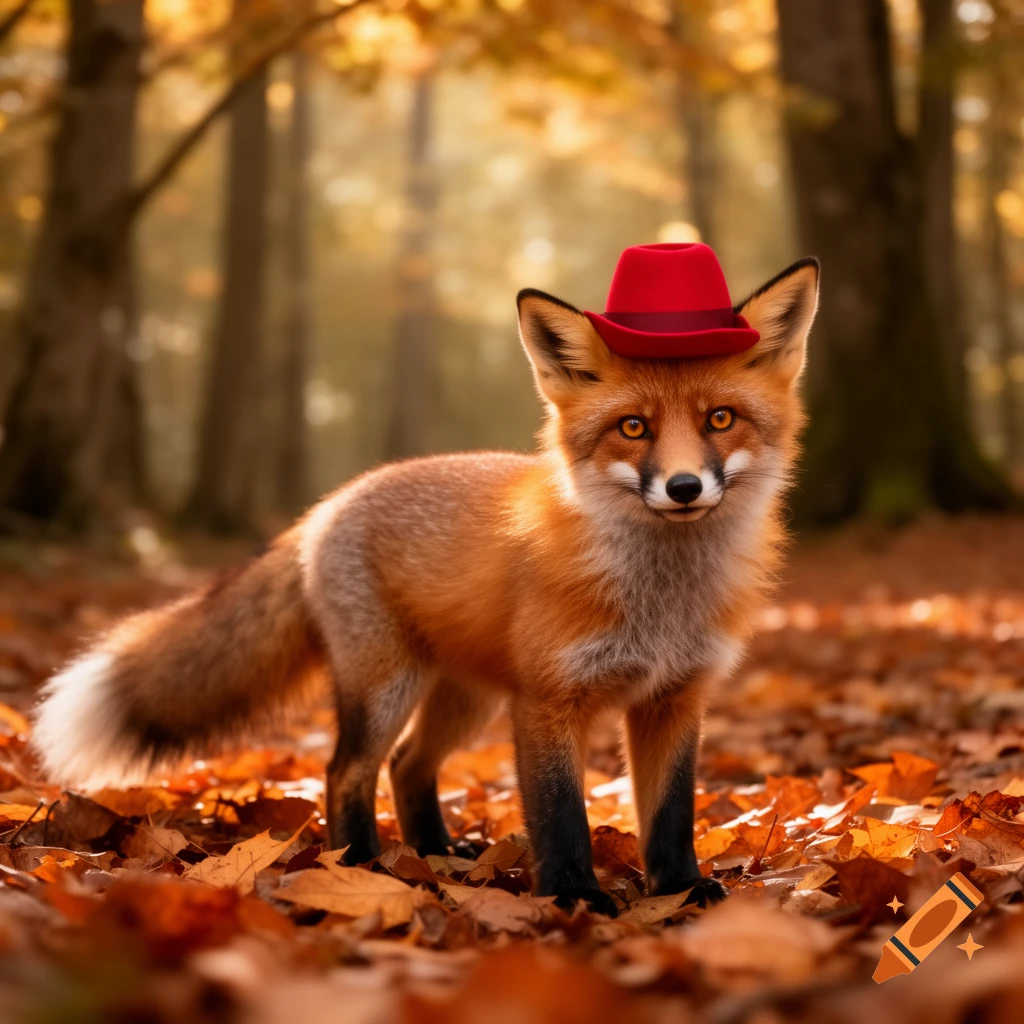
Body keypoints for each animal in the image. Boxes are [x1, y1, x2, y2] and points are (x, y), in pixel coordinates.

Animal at [32, 255, 819, 916]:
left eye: (720, 419)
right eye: (633, 428)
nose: (684, 487)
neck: (660, 598)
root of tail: (327, 507)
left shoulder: (675, 698)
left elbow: (671, 813)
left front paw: (681, 890)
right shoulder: (547, 701)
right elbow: (561, 815)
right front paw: (574, 897)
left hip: (464, 698)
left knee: (409, 766)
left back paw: (439, 853)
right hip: (387, 686)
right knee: (345, 770)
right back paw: (360, 864)